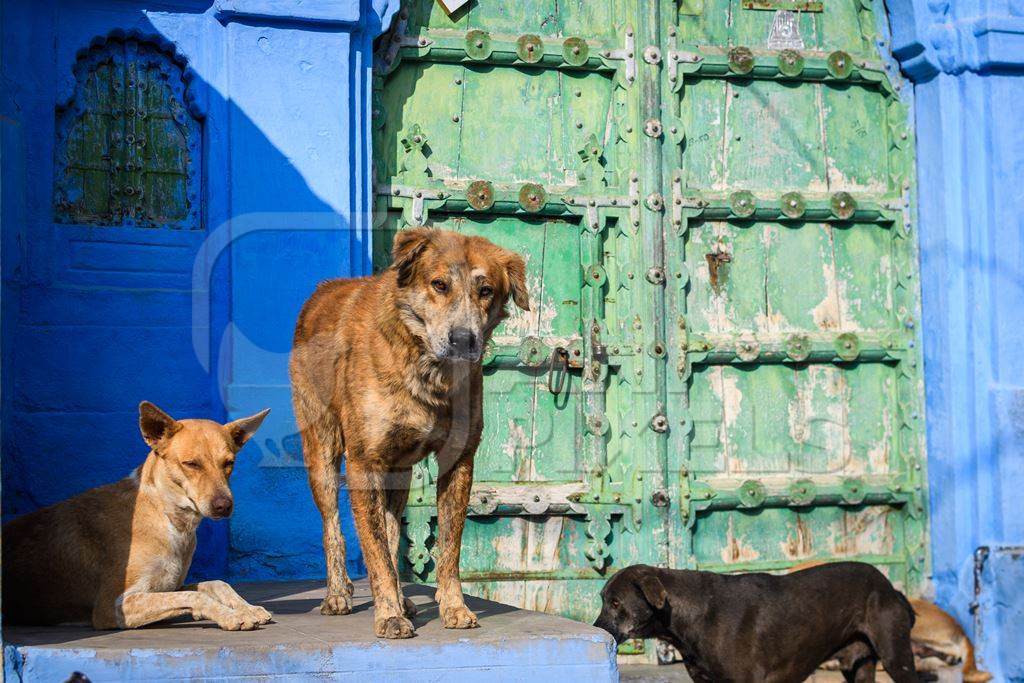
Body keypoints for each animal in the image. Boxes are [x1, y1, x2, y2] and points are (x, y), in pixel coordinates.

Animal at [2, 401, 272, 630]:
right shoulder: (113, 606)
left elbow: (215, 583)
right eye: (191, 464)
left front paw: (246, 607)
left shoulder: (169, 586)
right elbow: (196, 595)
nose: (224, 506)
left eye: (229, 463)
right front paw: (231, 615)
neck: (168, 518)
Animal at [288, 227, 528, 638]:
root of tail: (321, 290)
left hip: (399, 472)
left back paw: (403, 600)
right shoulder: (364, 462)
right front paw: (388, 616)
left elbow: (447, 549)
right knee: (333, 526)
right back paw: (337, 594)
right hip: (321, 451)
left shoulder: (458, 461)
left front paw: (453, 608)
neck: (429, 370)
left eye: (486, 290)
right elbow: (375, 554)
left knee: (390, 530)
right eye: (439, 285)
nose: (463, 339)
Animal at [598, 561, 917, 683]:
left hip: (897, 658)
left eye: (615, 603)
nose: (596, 630)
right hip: (857, 666)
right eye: (602, 598)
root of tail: (890, 588)